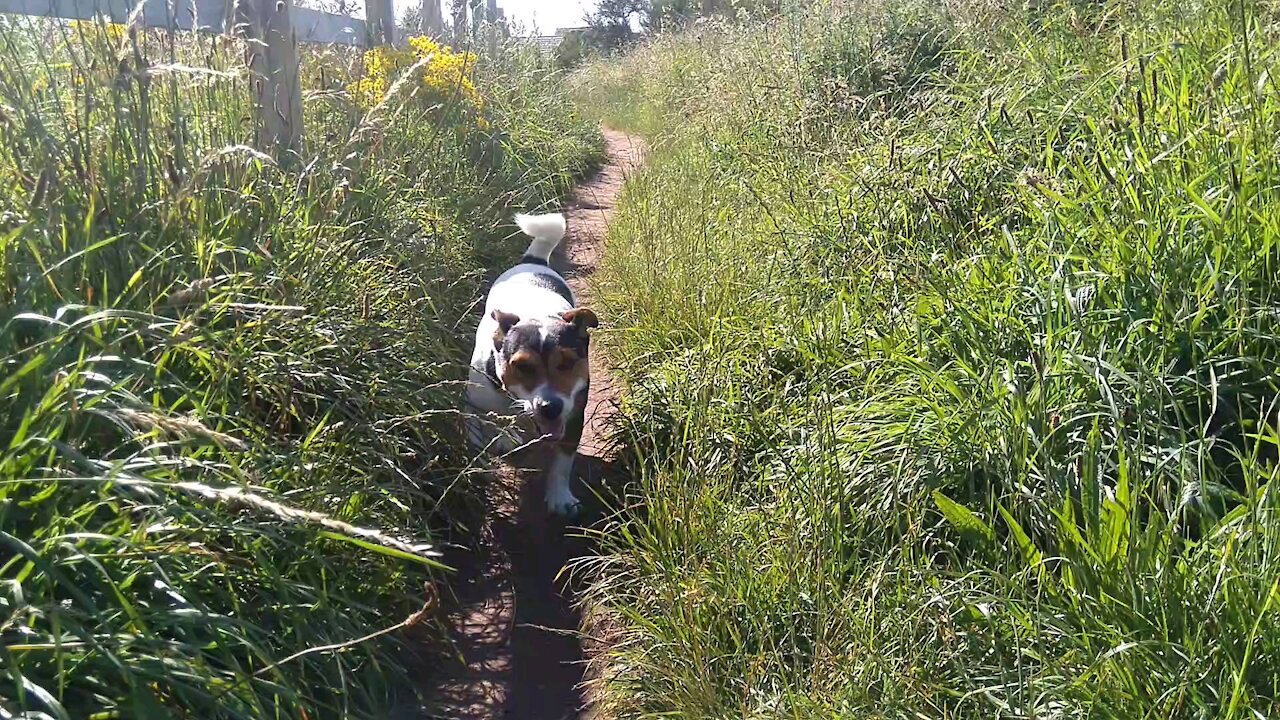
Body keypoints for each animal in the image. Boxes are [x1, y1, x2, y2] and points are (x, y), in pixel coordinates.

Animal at [463, 210, 596, 512]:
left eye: (567, 363)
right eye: (523, 366)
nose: (550, 407)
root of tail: (533, 261)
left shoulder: (574, 417)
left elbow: (562, 464)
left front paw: (560, 498)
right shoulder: (478, 400)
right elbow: (485, 422)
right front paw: (498, 438)